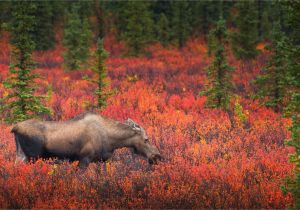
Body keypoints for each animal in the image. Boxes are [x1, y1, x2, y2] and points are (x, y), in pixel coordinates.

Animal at [11, 112, 162, 168]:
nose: (157, 157)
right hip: (32, 157)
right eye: (146, 139)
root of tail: (14, 128)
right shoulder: (84, 158)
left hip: (21, 155)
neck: (112, 141)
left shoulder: (103, 159)